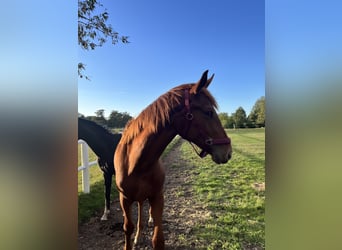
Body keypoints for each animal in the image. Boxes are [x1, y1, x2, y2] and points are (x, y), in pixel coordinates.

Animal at [115, 71, 232, 250]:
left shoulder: (157, 197)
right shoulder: (125, 199)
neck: (136, 163)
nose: (228, 152)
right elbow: (128, 228)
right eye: (208, 112)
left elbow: (158, 239)